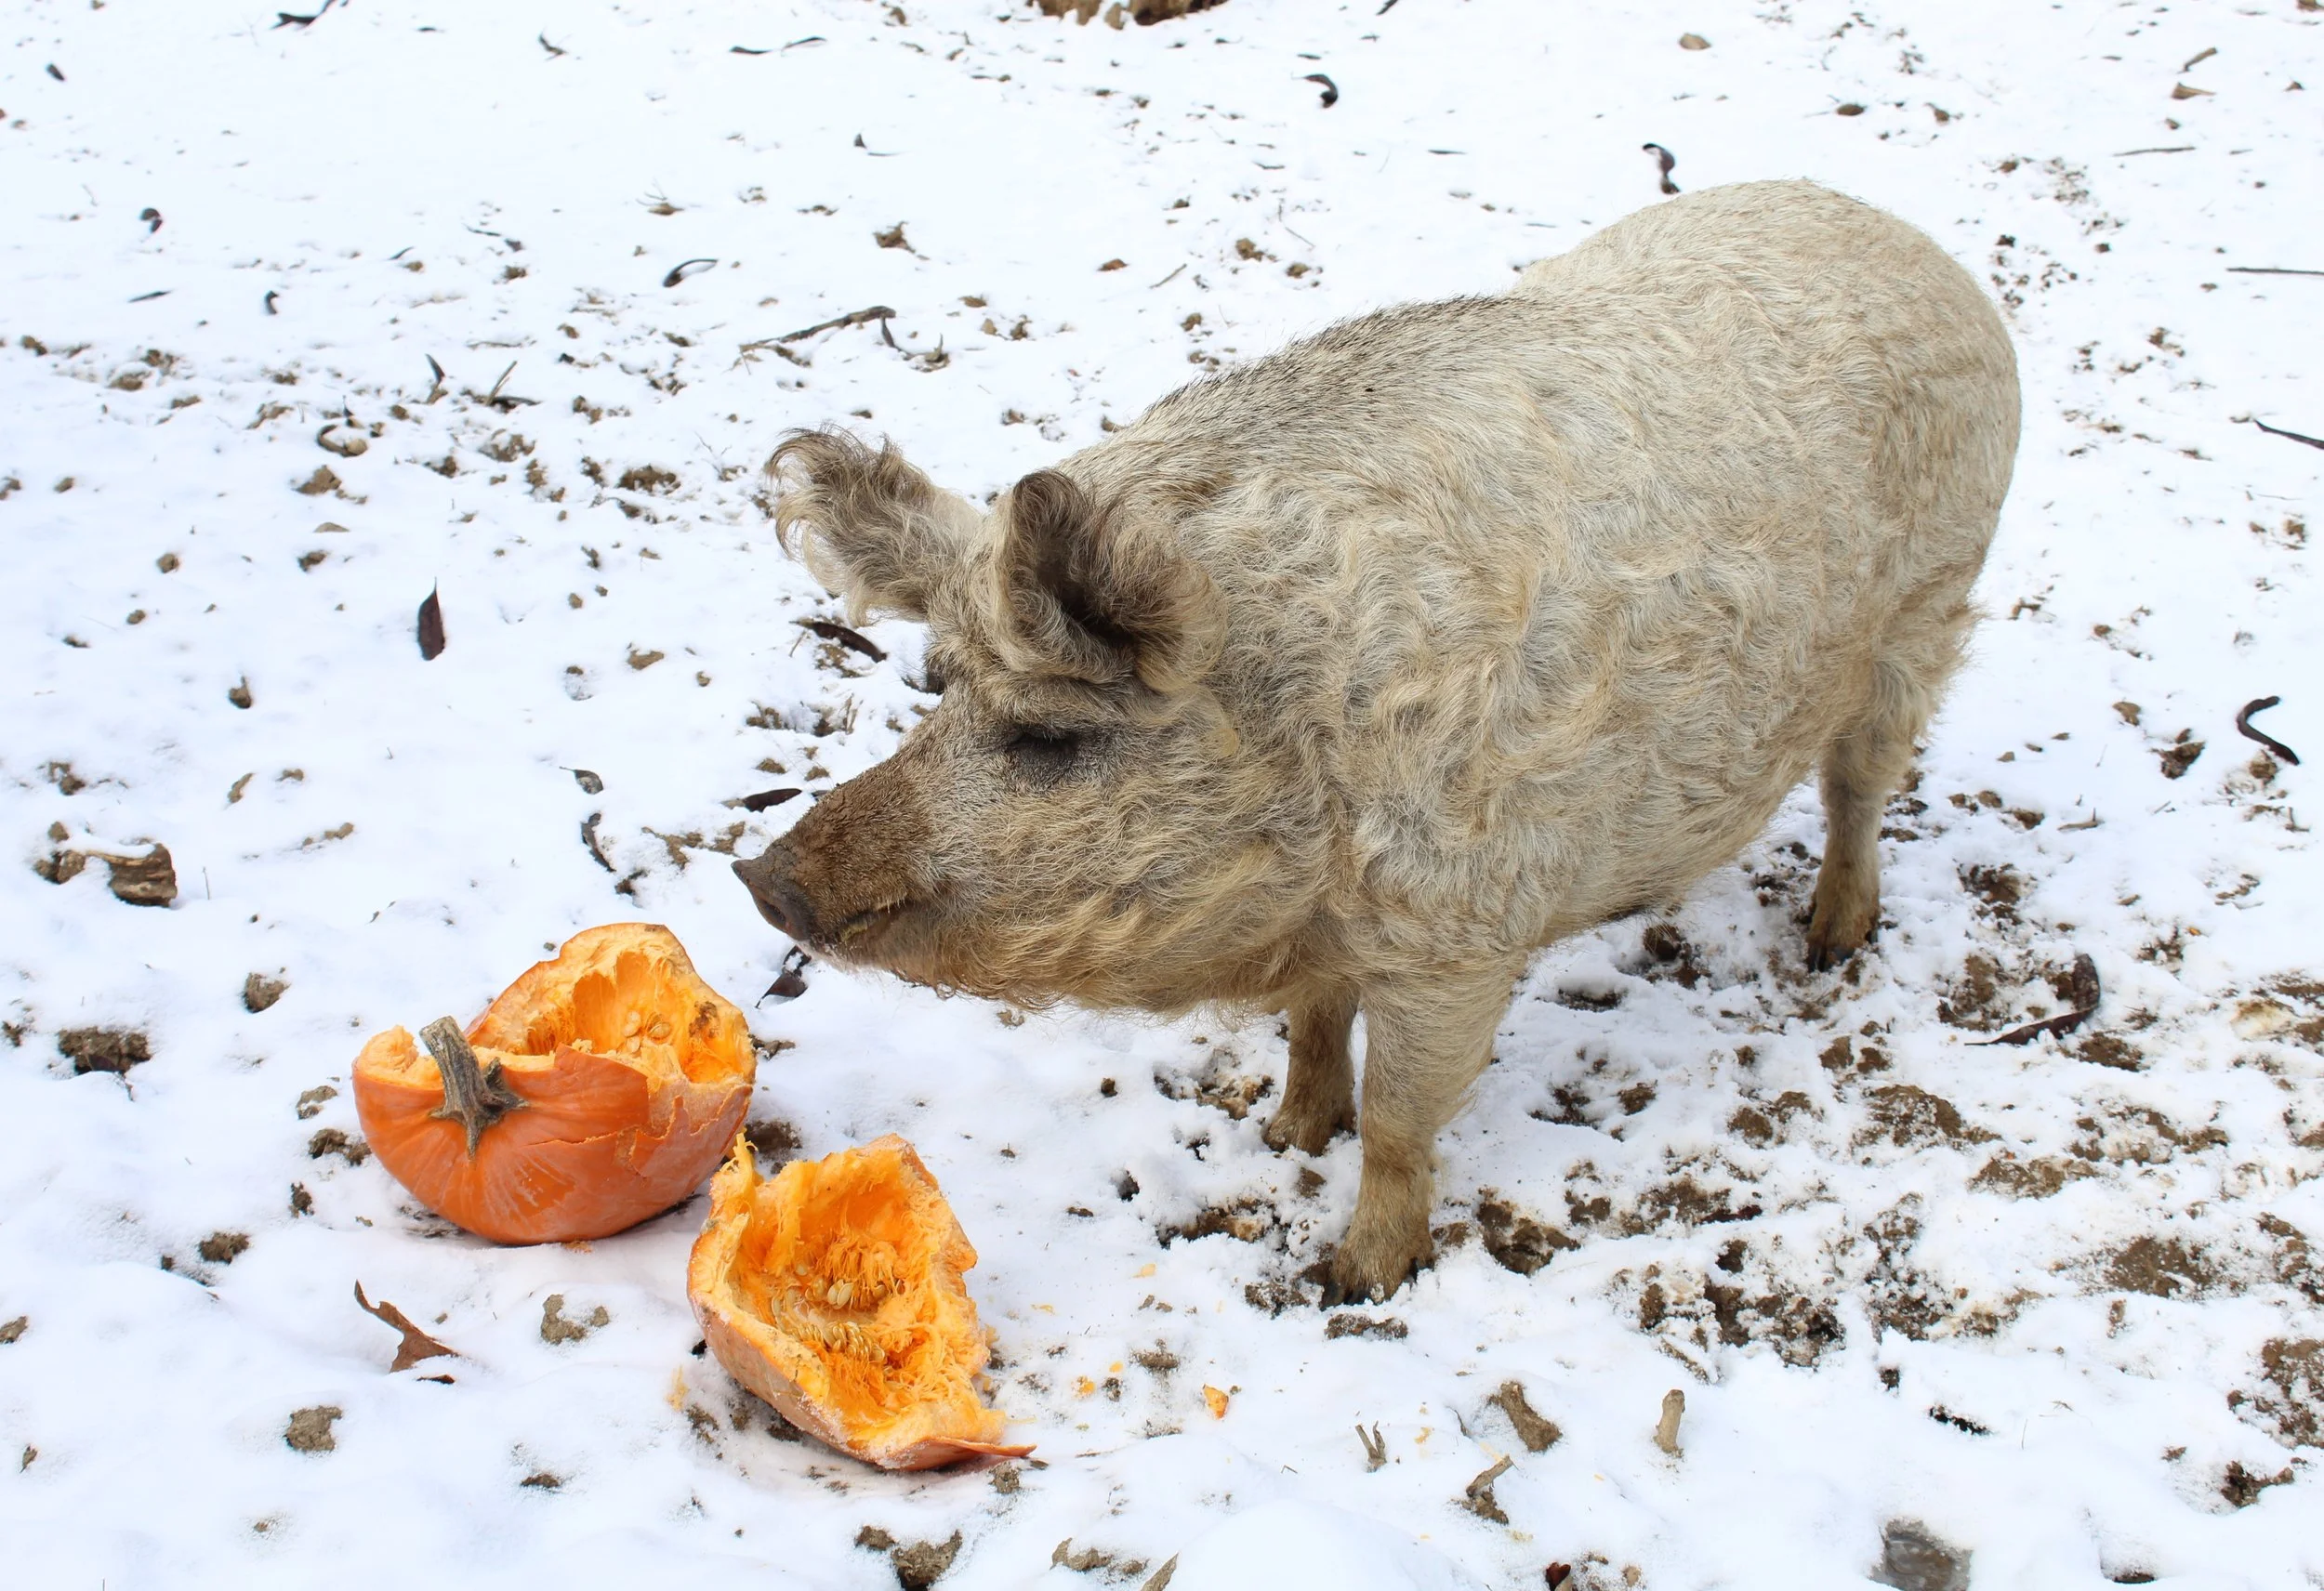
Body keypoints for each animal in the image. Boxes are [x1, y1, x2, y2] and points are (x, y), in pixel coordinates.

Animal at [735, 180, 2020, 1303]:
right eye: (939, 684)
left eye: (1047, 735)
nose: (762, 875)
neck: (1307, 735)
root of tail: (1916, 245)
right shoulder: (1333, 931)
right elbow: (1312, 1028)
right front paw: (1281, 1132)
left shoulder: (1459, 927)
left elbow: (1402, 1118)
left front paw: (1353, 1278)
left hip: (1928, 606)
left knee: (1861, 784)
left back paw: (1830, 945)